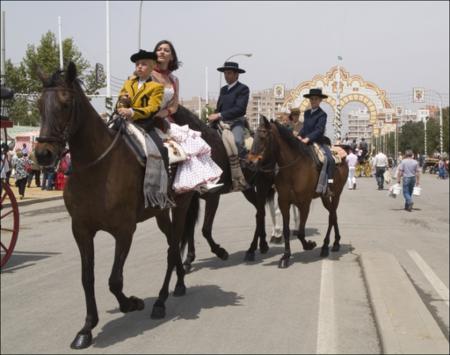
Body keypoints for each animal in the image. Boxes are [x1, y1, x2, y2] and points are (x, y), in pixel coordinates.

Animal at [34, 63, 196, 350]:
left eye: (65, 104)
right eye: (40, 104)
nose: (43, 154)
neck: (97, 168)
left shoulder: (124, 230)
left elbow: (114, 280)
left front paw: (132, 303)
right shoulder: (81, 230)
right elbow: (87, 278)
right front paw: (87, 328)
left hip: (180, 207)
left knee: (173, 247)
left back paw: (160, 301)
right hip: (160, 213)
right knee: (173, 245)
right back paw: (178, 284)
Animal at [171, 107, 274, 272]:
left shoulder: (213, 197)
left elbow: (205, 229)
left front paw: (221, 252)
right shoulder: (192, 199)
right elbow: (190, 228)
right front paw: (188, 260)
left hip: (262, 185)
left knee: (260, 211)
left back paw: (256, 248)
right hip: (248, 189)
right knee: (260, 211)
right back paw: (260, 245)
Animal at [246, 118, 348, 268]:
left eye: (263, 137)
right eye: (254, 137)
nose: (250, 162)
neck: (293, 169)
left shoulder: (304, 203)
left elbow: (300, 231)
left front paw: (309, 245)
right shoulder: (283, 202)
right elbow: (286, 230)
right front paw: (285, 256)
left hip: (336, 194)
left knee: (332, 216)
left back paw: (325, 246)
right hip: (325, 198)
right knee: (333, 215)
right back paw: (335, 242)